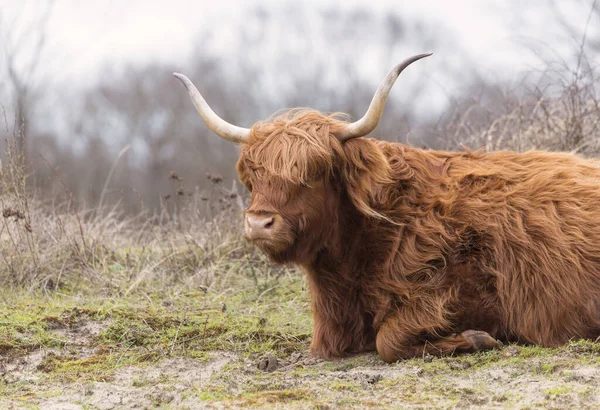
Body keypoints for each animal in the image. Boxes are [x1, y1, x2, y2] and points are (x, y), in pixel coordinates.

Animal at [173, 54, 600, 362]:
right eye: (253, 176)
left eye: (314, 172)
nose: (260, 223)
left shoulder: (478, 293)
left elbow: (388, 340)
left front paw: (478, 339)